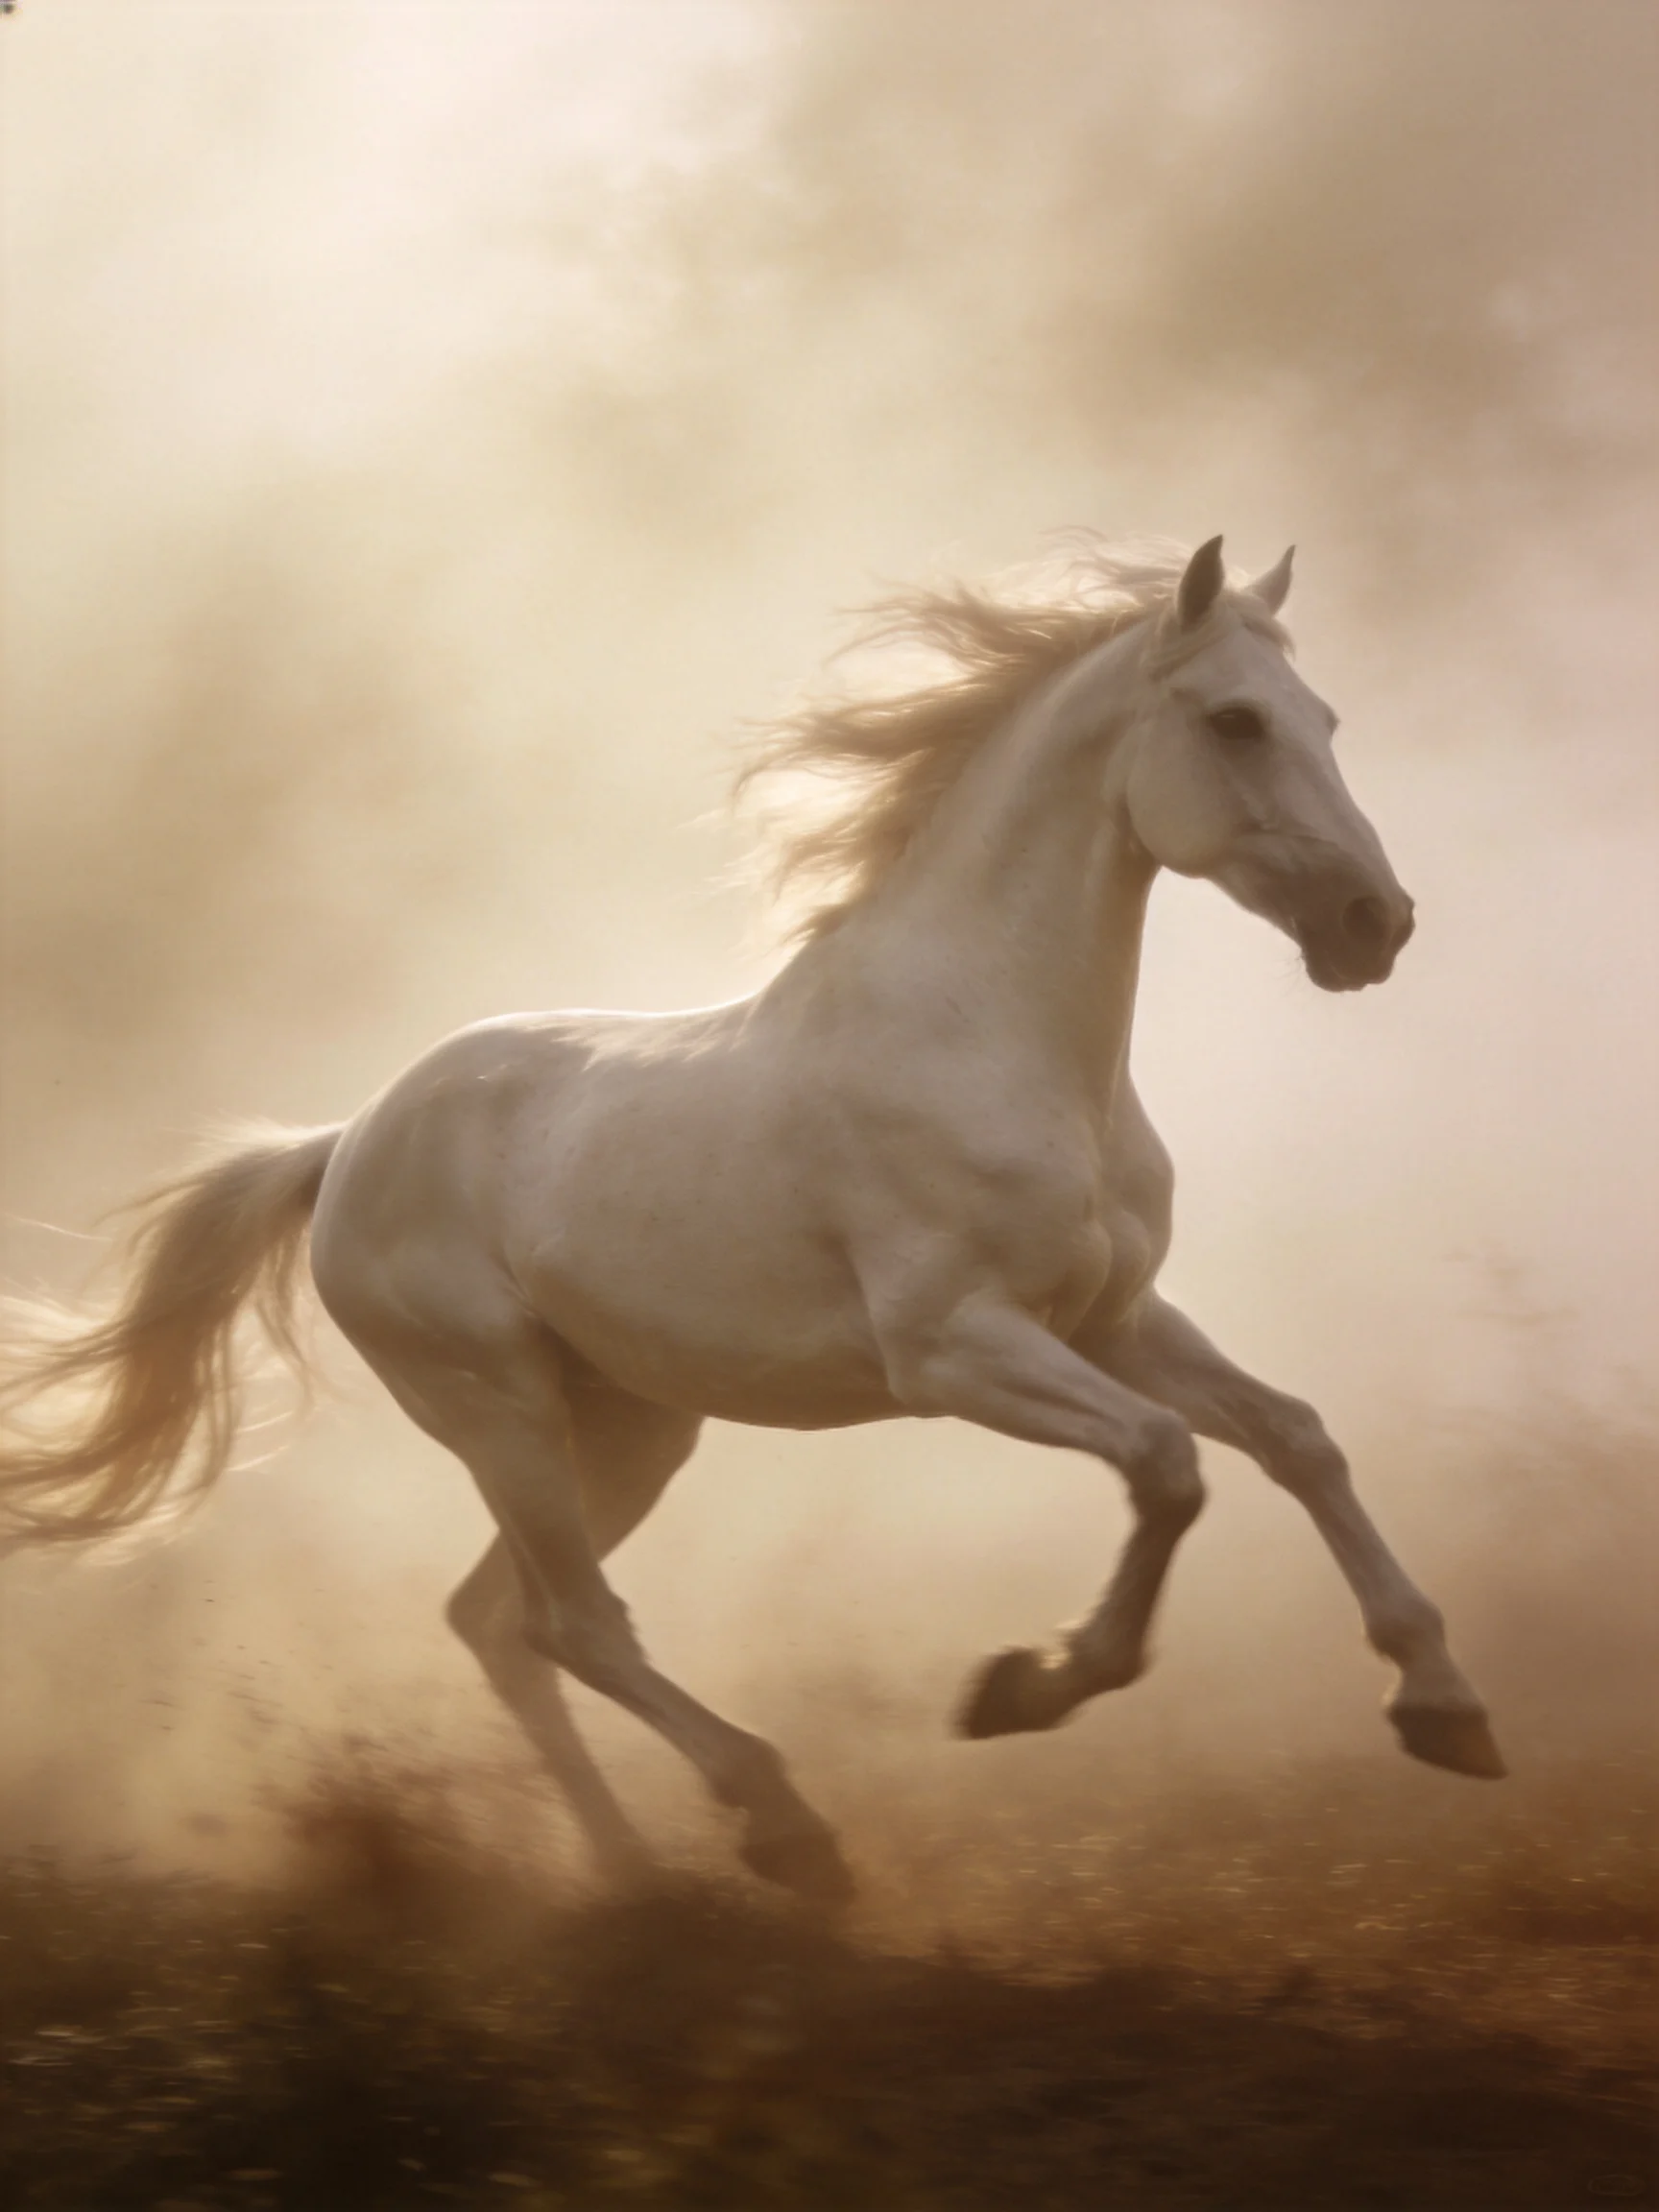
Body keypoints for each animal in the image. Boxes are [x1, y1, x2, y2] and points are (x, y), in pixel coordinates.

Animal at [0, 535, 1505, 1904]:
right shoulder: (954, 1350)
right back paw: (781, 1830)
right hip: (497, 1410)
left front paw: (1444, 1708)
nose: (1374, 923)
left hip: (628, 1429)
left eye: (1324, 719)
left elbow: (1294, 1437)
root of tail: (347, 1142)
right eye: (1237, 720)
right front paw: (1026, 1685)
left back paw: (634, 1876)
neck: (997, 1041)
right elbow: (1169, 1465)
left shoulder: (1114, 1318)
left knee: (499, 1624)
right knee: (574, 1624)